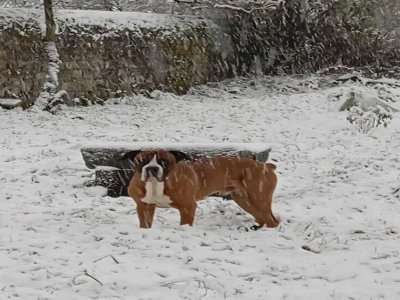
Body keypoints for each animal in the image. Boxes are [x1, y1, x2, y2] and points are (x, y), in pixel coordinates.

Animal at [120, 150, 280, 230]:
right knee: (262, 217)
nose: (152, 168)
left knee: (271, 220)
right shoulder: (144, 207)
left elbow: (185, 224)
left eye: (164, 162)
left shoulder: (187, 208)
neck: (155, 185)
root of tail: (267, 166)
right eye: (142, 161)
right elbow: (145, 224)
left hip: (258, 198)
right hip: (244, 199)